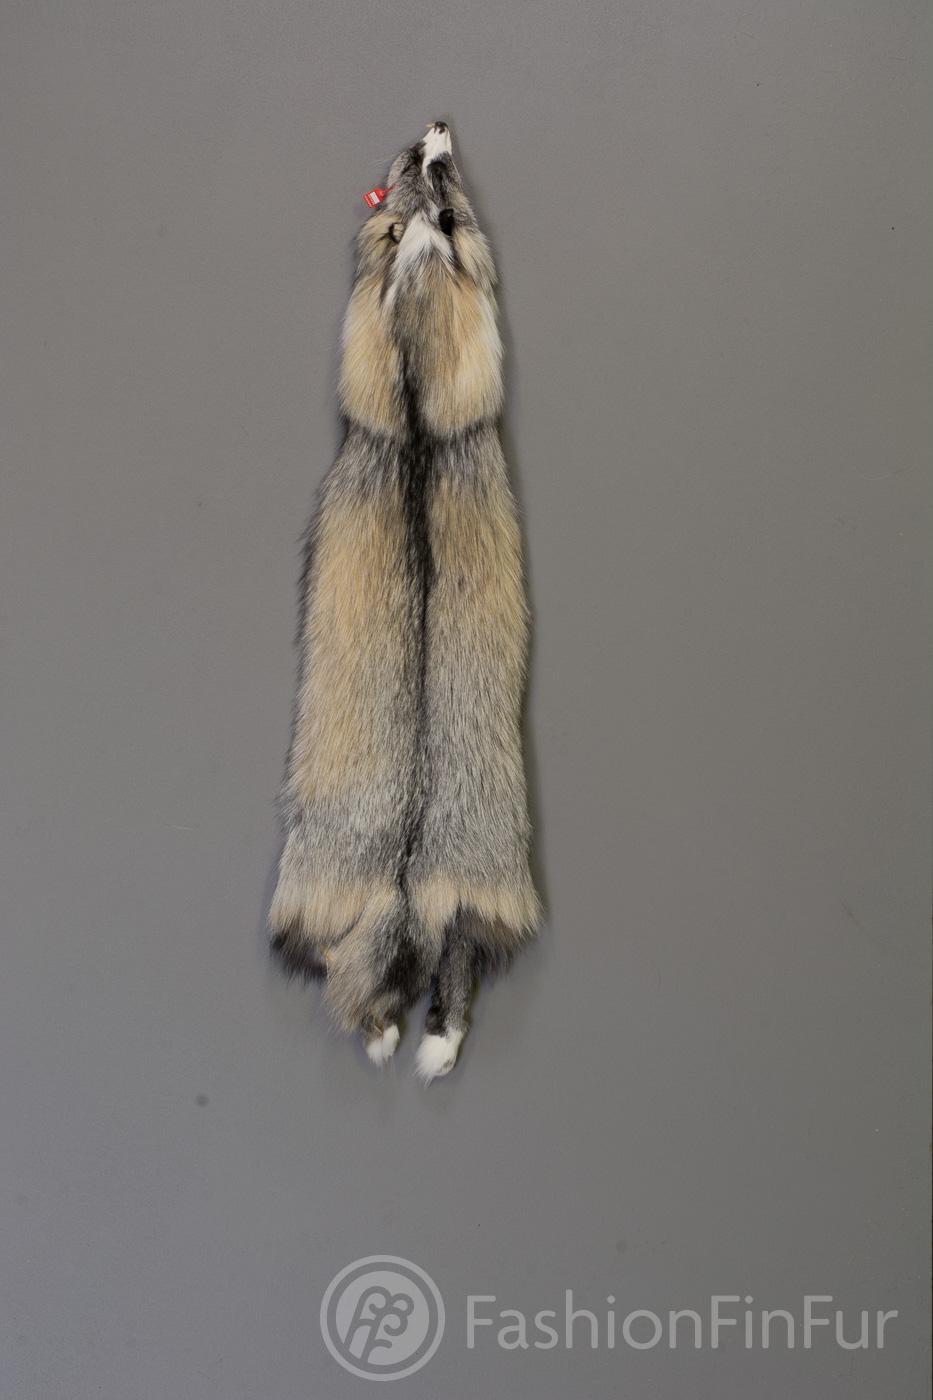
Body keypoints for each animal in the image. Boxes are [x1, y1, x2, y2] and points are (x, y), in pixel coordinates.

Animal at [269, 122, 539, 1081]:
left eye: (441, 191)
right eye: (408, 188)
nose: (434, 125)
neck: (420, 432)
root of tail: (408, 879)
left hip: (347, 893)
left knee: (355, 974)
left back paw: (398, 1041)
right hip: (458, 900)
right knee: (445, 979)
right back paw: (429, 1049)